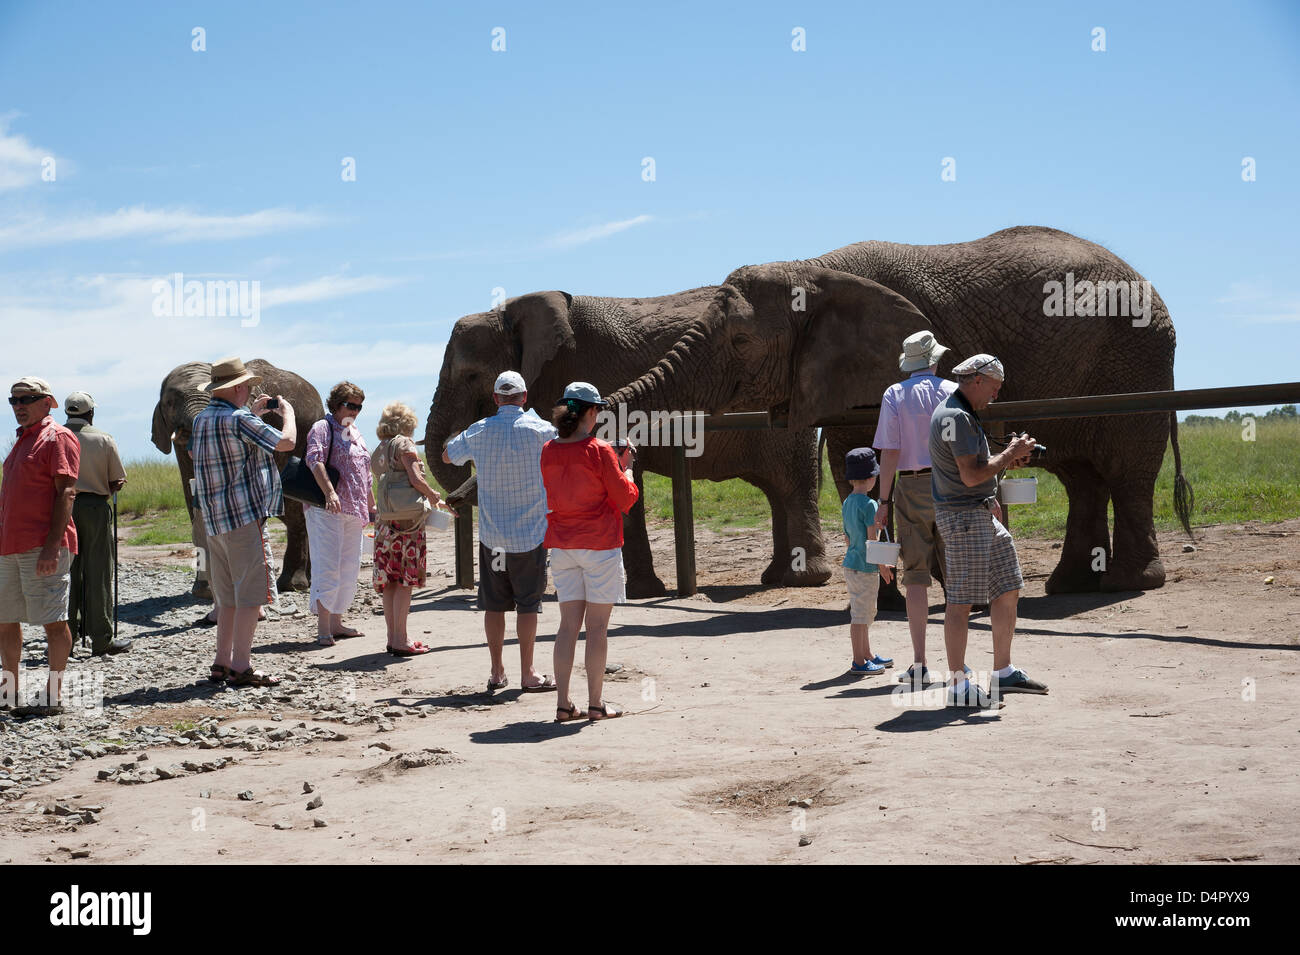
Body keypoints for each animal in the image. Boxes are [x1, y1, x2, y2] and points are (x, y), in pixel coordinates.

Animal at [150, 361, 325, 595]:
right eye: (169, 403)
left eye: (213, 395)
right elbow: (190, 491)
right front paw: (203, 592)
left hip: (307, 433)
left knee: (295, 509)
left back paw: (293, 584)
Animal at [426, 289, 832, 597]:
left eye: (471, 375)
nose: (450, 503)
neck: (513, 312)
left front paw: (640, 593)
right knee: (776, 492)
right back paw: (774, 577)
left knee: (791, 485)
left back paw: (804, 580)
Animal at [608, 227, 1190, 595]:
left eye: (742, 340)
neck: (814, 268)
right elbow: (857, 464)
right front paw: (888, 591)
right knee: (1082, 476)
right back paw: (1070, 585)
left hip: (1135, 359)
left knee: (1126, 470)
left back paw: (1126, 584)